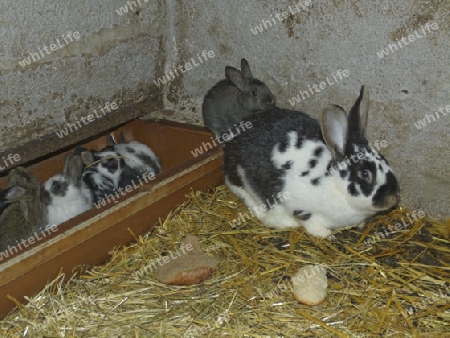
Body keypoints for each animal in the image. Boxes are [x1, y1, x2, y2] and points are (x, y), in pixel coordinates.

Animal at [223, 85, 400, 238]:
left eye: (385, 160)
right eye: (365, 174)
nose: (394, 197)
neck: (335, 185)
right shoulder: (301, 207)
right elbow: (312, 224)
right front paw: (326, 235)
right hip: (250, 188)